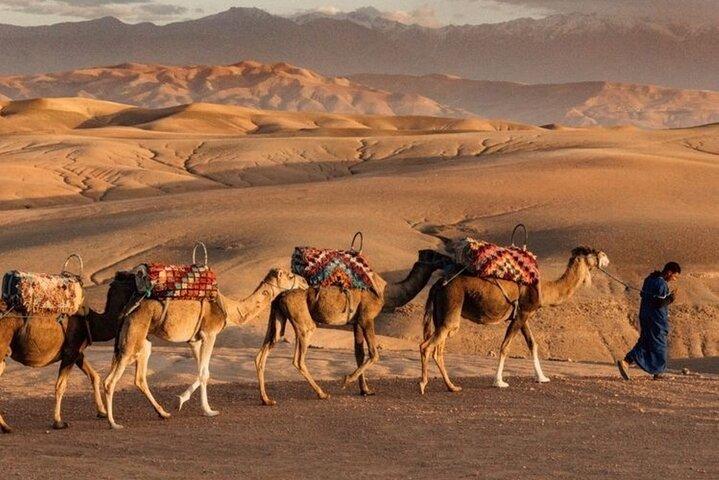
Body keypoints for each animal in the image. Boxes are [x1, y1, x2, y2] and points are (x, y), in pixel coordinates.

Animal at [0, 271, 136, 433]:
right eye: (133, 279)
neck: (91, 321)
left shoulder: (77, 352)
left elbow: (94, 376)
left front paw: (102, 412)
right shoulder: (71, 351)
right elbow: (60, 386)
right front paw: (58, 422)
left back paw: (5, 426)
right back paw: (6, 426)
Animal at [103, 267, 306, 430]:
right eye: (290, 275)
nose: (304, 282)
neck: (229, 308)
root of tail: (126, 311)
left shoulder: (195, 340)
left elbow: (203, 371)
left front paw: (181, 401)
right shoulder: (210, 333)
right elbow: (204, 373)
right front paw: (208, 411)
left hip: (142, 341)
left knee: (138, 378)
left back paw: (163, 413)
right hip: (133, 336)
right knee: (110, 381)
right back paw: (114, 423)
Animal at [255, 249, 451, 406]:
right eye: (436, 255)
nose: (449, 259)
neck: (385, 292)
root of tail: (280, 296)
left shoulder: (356, 321)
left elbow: (359, 353)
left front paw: (365, 390)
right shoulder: (367, 317)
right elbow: (374, 354)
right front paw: (346, 380)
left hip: (278, 317)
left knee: (265, 351)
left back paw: (266, 399)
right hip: (303, 321)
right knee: (299, 358)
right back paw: (322, 393)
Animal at [419, 246, 609, 393]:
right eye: (593, 251)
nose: (606, 258)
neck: (544, 289)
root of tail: (437, 285)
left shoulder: (523, 315)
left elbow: (532, 344)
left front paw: (542, 377)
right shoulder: (522, 313)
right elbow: (505, 347)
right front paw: (499, 382)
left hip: (442, 313)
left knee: (438, 349)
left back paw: (452, 387)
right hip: (452, 305)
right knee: (427, 346)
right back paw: (423, 384)